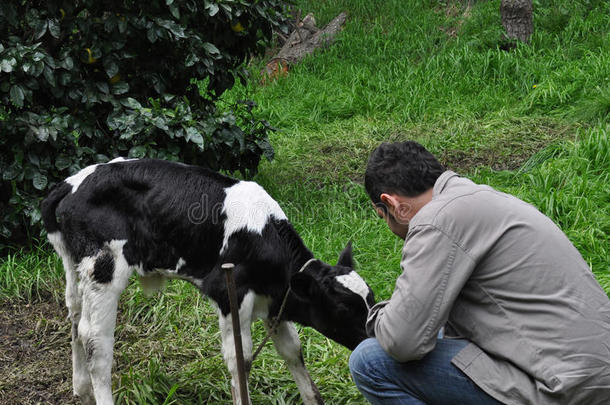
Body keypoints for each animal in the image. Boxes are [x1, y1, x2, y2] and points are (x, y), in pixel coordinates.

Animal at [40, 158, 372, 404]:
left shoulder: (273, 299)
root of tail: (71, 184)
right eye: (344, 309)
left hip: (76, 267)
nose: (374, 338)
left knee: (75, 318)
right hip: (105, 268)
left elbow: (292, 349)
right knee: (96, 340)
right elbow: (240, 359)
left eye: (370, 297)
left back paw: (82, 390)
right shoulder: (229, 294)